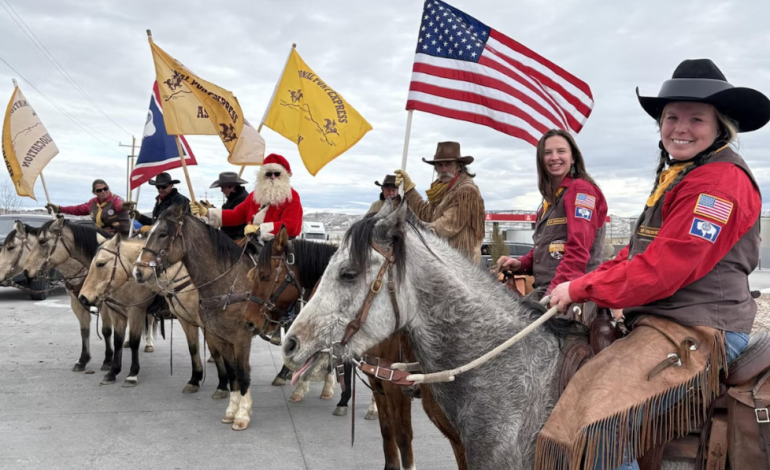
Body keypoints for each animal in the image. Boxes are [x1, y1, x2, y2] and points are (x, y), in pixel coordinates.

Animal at [1, 222, 114, 372]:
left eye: (11, 248)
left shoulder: (106, 305)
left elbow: (106, 331)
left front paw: (108, 360)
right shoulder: (77, 303)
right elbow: (84, 330)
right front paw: (82, 360)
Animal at [135, 205, 258, 430]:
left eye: (163, 234)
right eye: (148, 233)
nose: (138, 271)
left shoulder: (240, 337)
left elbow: (241, 371)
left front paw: (242, 413)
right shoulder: (213, 331)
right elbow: (228, 368)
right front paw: (230, 407)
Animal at [243, 226, 464, 468]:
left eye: (264, 276)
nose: (249, 322)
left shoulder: (395, 387)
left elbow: (403, 437)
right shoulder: (377, 380)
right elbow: (387, 431)